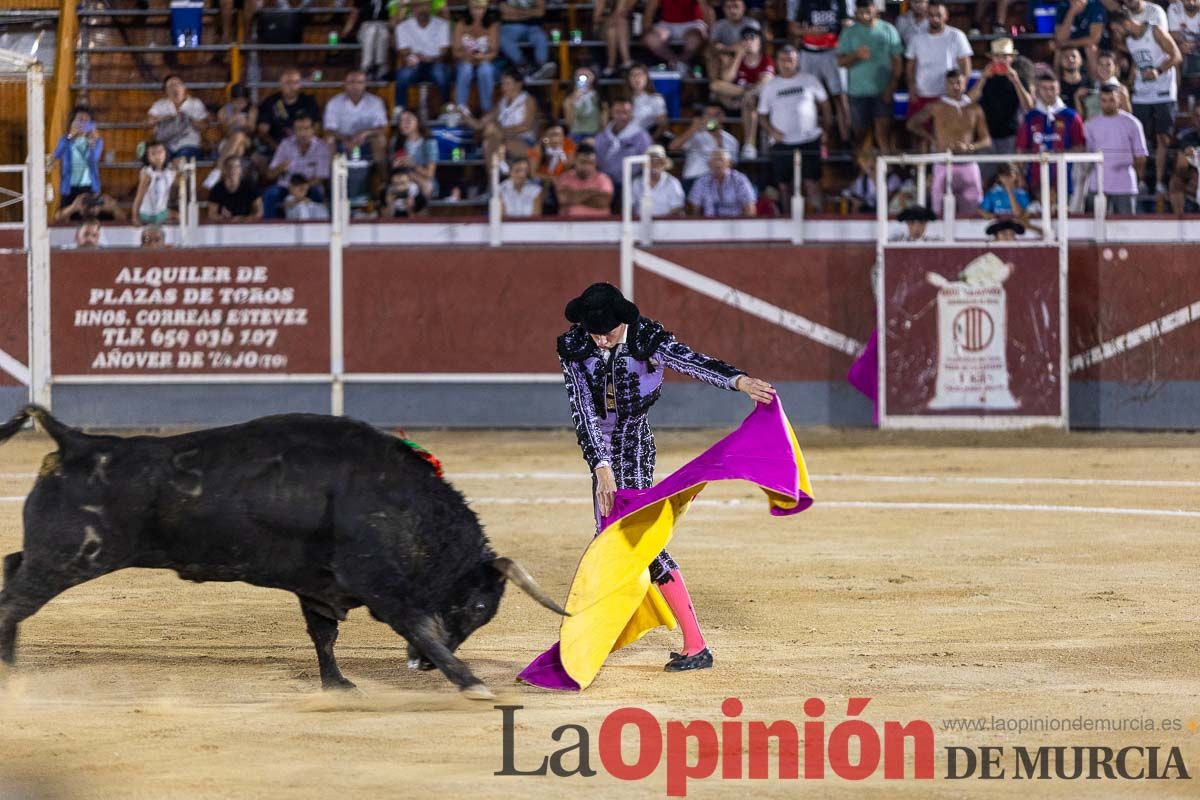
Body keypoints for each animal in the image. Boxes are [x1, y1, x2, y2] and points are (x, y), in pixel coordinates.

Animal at [0, 407, 568, 700]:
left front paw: (338, 686)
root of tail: (75, 440)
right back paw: (8, 673)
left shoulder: (319, 587)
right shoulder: (382, 588)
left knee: (10, 569)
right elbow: (421, 628)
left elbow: (324, 636)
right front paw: (472, 683)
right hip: (68, 558)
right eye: (479, 606)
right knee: (14, 600)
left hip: (53, 554)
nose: (421, 669)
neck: (403, 502)